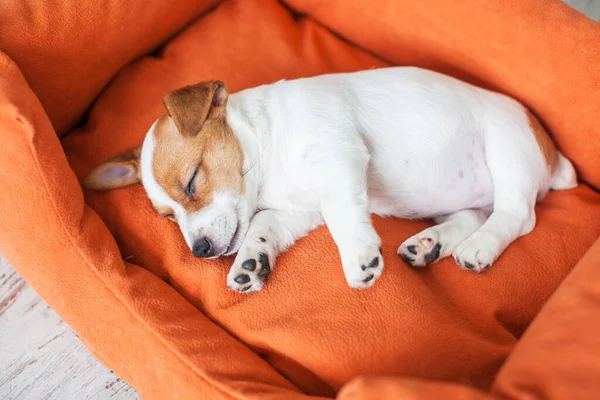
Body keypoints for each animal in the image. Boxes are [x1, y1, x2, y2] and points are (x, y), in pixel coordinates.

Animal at [83, 67, 576, 294]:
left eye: (191, 181)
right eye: (168, 217)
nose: (200, 250)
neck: (268, 151)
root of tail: (554, 157)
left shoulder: (340, 157)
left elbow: (342, 215)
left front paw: (359, 256)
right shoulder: (296, 213)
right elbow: (262, 226)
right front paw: (251, 262)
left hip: (507, 148)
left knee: (518, 215)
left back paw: (480, 247)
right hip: (466, 197)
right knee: (472, 215)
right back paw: (429, 243)